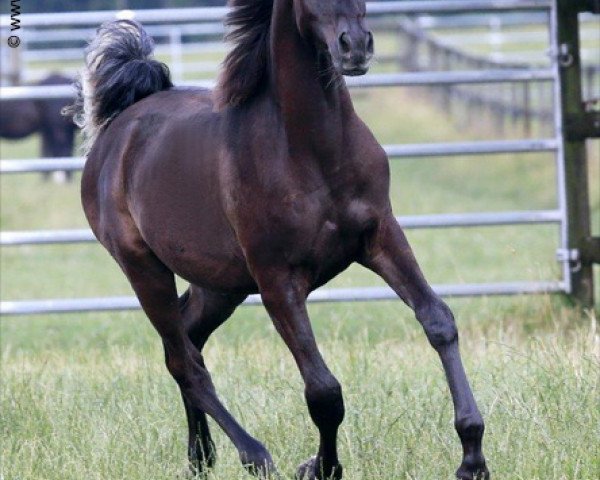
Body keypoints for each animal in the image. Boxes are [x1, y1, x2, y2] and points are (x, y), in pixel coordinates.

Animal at [72, 1, 490, 478]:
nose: (355, 46)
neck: (310, 150)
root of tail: (118, 131)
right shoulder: (277, 280)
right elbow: (323, 390)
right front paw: (320, 466)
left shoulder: (381, 237)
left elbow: (438, 321)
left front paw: (472, 457)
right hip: (144, 269)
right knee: (185, 361)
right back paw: (254, 456)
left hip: (220, 284)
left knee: (188, 340)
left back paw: (201, 457)